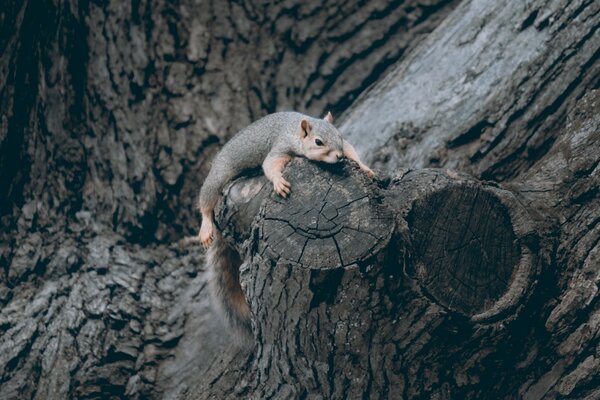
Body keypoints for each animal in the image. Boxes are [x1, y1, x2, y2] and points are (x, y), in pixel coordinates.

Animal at [199, 110, 372, 346]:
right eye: (318, 142)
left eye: (339, 134)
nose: (338, 157)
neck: (296, 132)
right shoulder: (281, 146)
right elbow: (270, 164)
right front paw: (279, 182)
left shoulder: (343, 145)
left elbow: (351, 149)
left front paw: (365, 168)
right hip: (218, 176)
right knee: (205, 203)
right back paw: (206, 227)